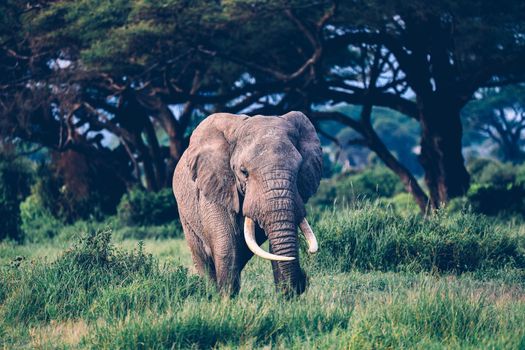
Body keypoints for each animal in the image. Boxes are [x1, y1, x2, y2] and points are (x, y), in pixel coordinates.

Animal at [172, 111, 322, 296]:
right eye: (244, 172)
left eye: (299, 169)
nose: (304, 280)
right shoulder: (216, 186)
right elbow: (226, 247)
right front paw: (226, 300)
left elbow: (276, 248)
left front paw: (286, 298)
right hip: (186, 216)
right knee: (204, 258)